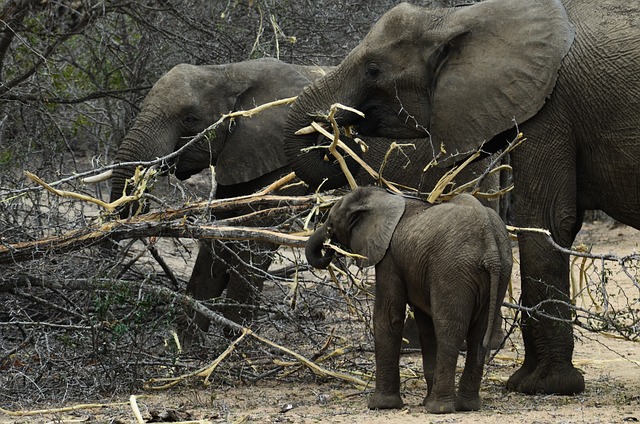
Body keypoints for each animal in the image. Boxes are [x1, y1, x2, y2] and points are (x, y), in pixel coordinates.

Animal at [103, 58, 330, 338]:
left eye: (190, 119)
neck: (229, 71)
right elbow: (219, 233)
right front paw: (187, 344)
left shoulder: (287, 157)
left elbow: (256, 238)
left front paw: (237, 340)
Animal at [304, 187, 510, 412]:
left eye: (331, 225)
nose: (329, 249)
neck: (386, 198)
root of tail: (489, 243)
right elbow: (426, 328)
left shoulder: (389, 258)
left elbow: (388, 317)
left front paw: (381, 405)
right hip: (499, 272)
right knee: (478, 334)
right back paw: (466, 406)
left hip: (452, 270)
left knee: (450, 330)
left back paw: (438, 408)